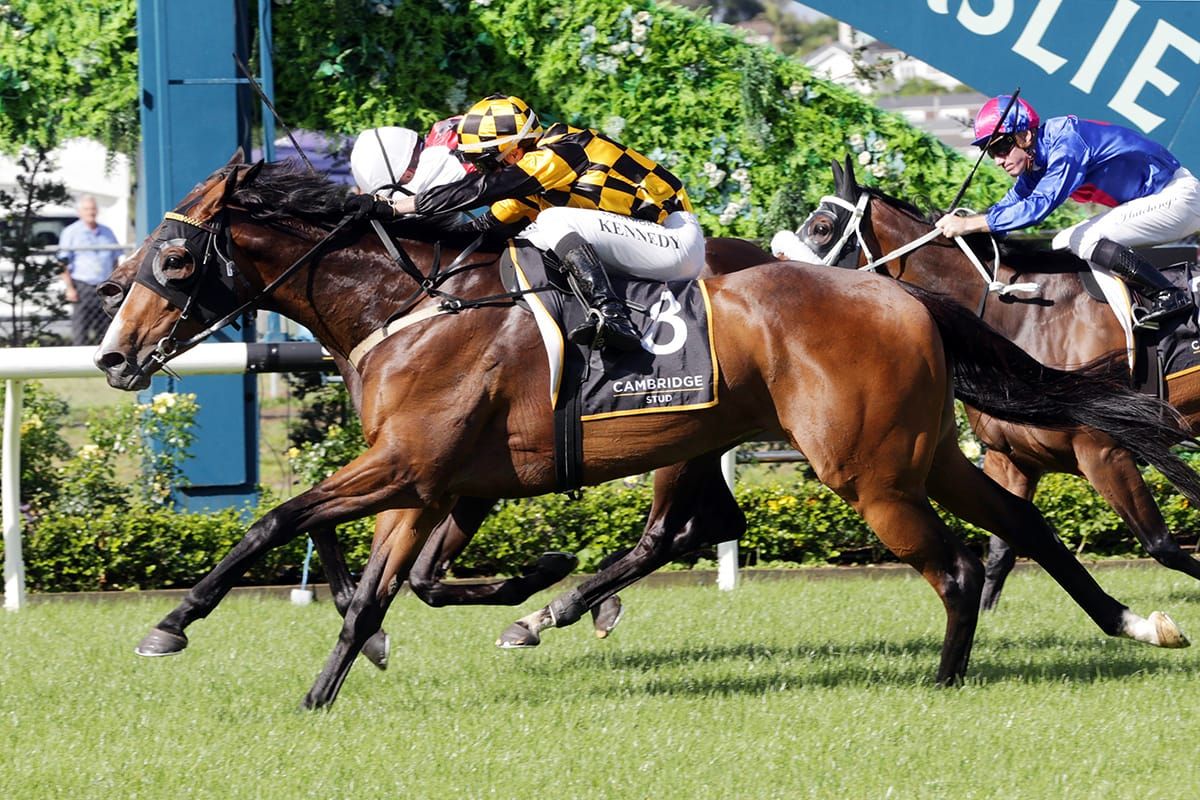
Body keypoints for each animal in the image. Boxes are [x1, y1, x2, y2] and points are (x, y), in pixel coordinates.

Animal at [795, 156, 1200, 609]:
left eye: (822, 227)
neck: (1026, 316)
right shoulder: (1011, 457)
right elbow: (1004, 548)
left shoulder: (1105, 450)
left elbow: (1162, 545)